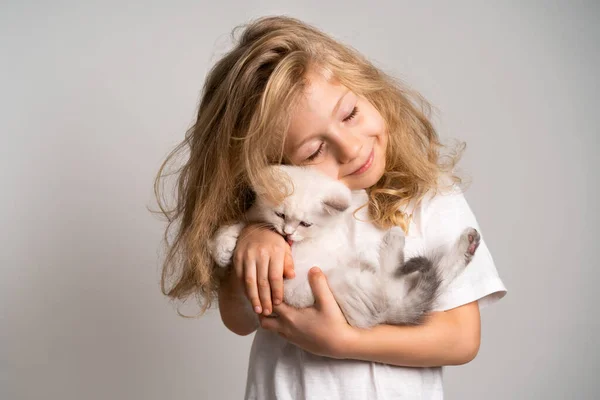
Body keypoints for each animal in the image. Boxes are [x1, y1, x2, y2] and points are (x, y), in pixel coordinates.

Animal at [209, 165, 480, 328]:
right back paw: (465, 246)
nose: (288, 233)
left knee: (394, 284)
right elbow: (237, 223)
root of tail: (384, 318)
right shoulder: (255, 217)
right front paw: (222, 248)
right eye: (280, 215)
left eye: (305, 223)